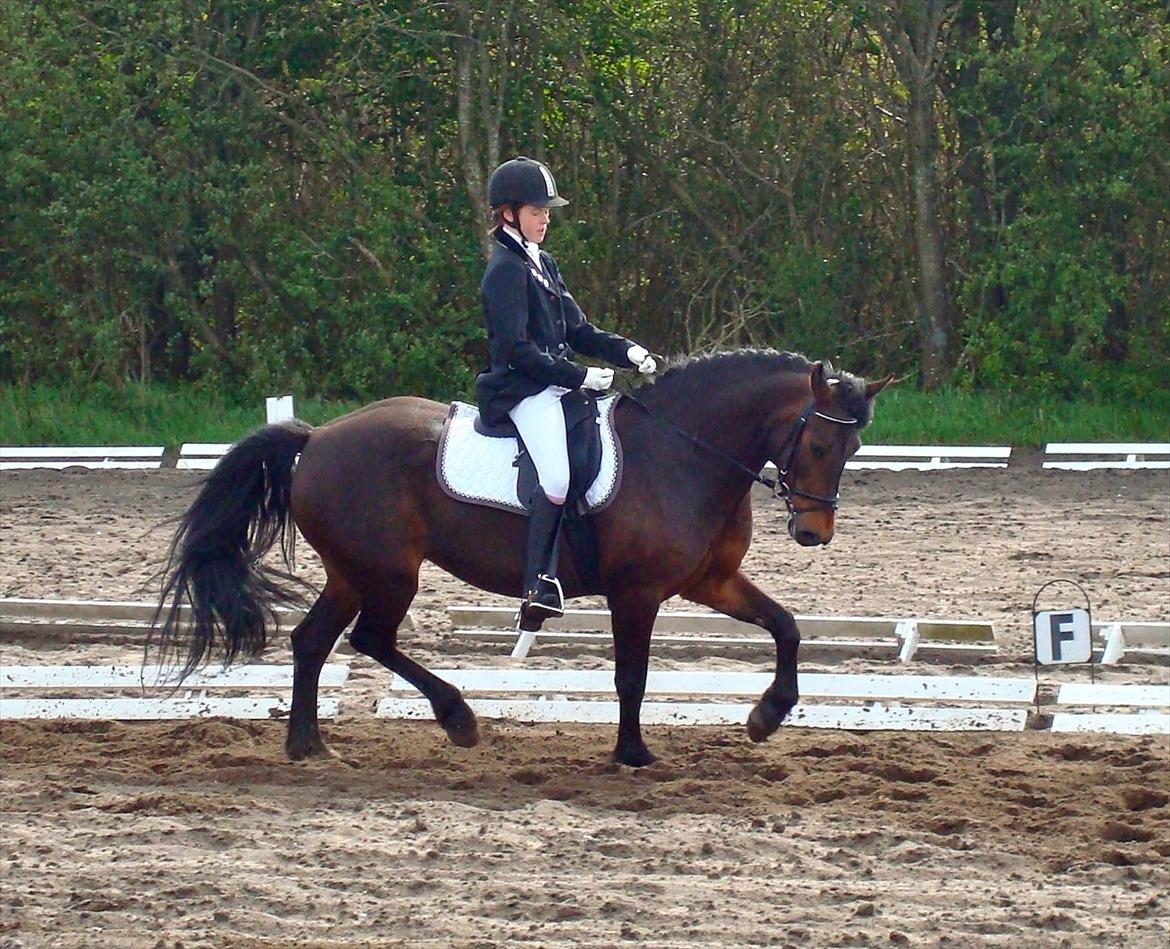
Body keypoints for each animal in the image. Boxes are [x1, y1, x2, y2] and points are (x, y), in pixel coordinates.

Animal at [150, 350, 891, 767]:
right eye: (818, 444)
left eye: (853, 449)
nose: (814, 533)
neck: (685, 451)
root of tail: (318, 436)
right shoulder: (637, 592)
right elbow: (631, 677)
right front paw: (633, 753)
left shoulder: (710, 580)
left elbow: (786, 625)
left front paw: (768, 716)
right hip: (389, 574)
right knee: (369, 640)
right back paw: (457, 719)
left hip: (352, 572)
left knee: (312, 641)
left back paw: (308, 744)